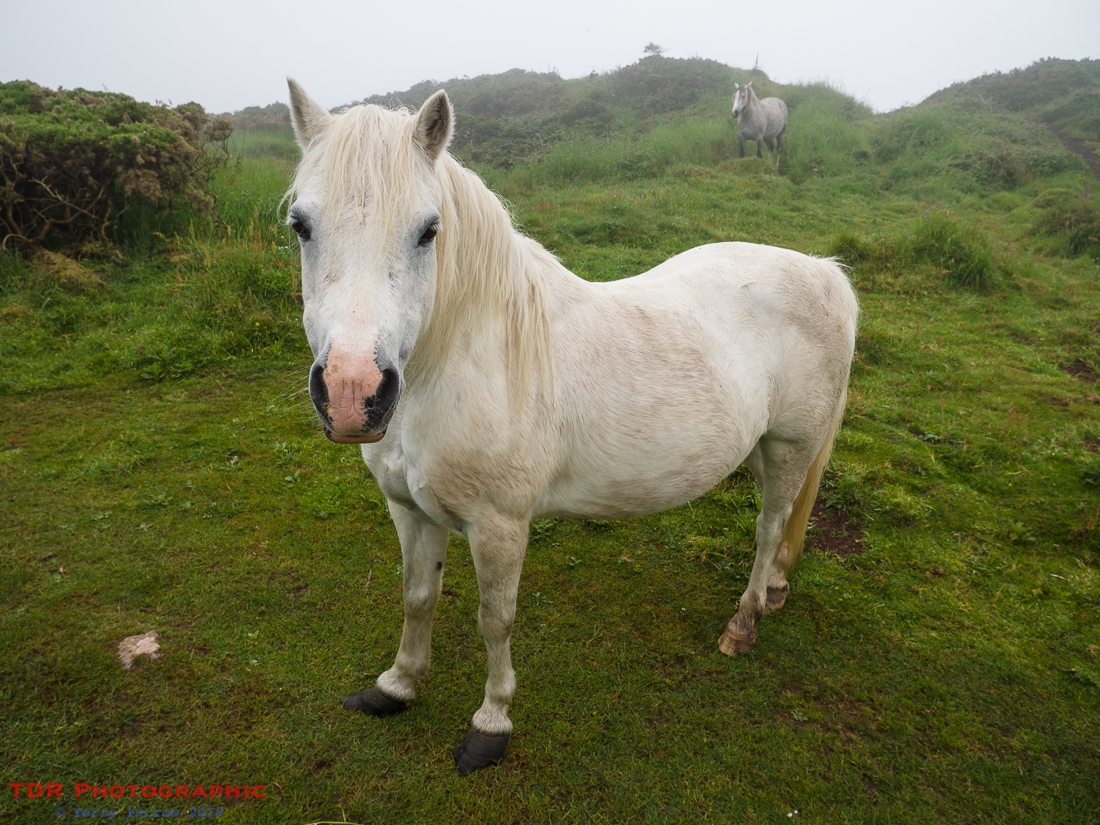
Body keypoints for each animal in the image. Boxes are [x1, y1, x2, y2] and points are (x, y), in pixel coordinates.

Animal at [284, 78, 857, 774]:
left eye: (428, 231)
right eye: (300, 226)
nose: (353, 393)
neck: (470, 360)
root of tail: (824, 271)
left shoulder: (500, 527)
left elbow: (494, 620)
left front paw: (491, 724)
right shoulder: (409, 510)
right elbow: (417, 596)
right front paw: (395, 686)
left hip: (789, 448)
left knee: (770, 527)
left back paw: (743, 623)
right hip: (760, 447)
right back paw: (774, 589)